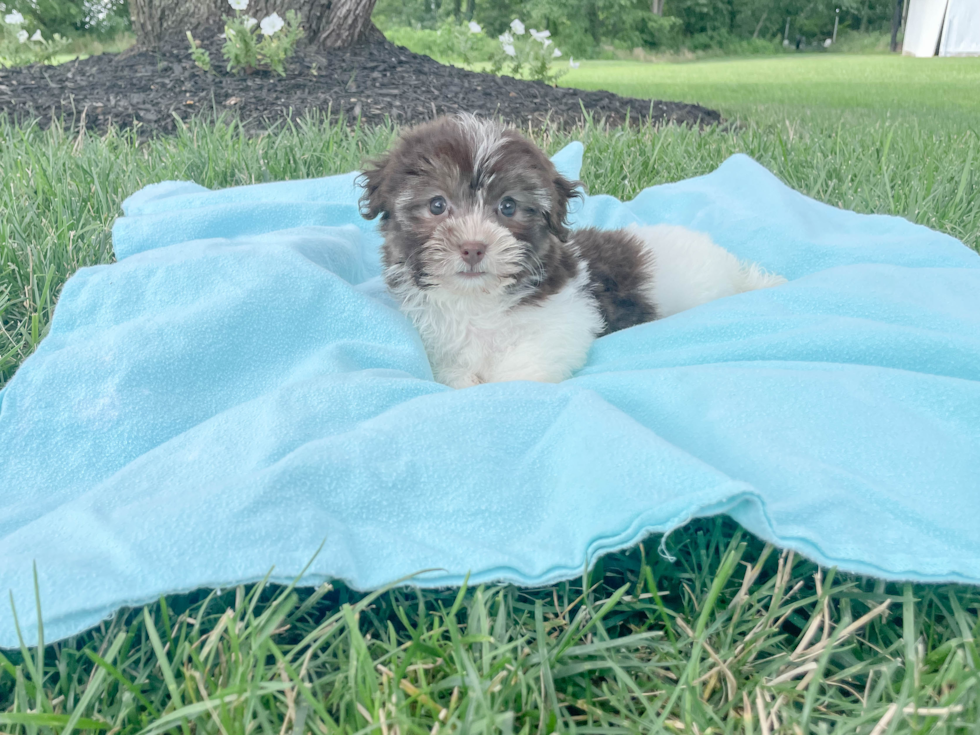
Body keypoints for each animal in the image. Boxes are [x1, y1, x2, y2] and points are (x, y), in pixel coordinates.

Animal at [360, 113, 780, 392]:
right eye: (437, 205)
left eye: (508, 207)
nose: (473, 248)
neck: (478, 301)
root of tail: (725, 265)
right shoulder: (436, 338)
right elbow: (452, 368)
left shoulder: (564, 320)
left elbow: (525, 365)